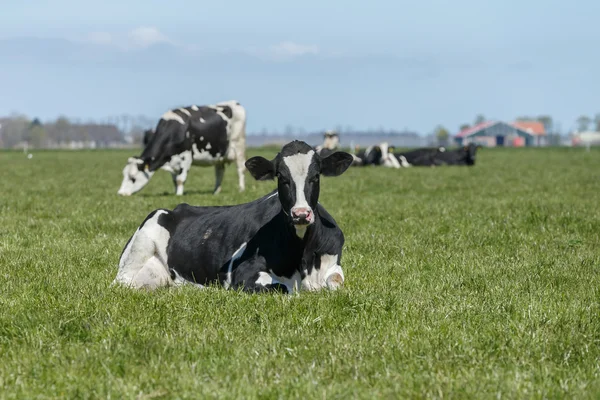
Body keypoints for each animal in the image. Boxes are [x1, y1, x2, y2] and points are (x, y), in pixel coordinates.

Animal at [112, 141, 354, 294]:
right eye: (281, 177)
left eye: (316, 176)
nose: (301, 214)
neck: (303, 259)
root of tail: (178, 209)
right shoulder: (242, 274)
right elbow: (284, 288)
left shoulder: (333, 263)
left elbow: (336, 283)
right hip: (143, 243)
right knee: (122, 283)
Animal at [117, 100, 246, 197]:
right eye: (124, 175)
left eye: (132, 178)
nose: (121, 193)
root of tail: (234, 102)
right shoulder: (173, 159)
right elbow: (175, 180)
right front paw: (176, 193)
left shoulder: (186, 156)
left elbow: (180, 179)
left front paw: (179, 195)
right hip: (219, 154)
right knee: (219, 172)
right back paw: (216, 191)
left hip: (238, 145)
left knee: (240, 168)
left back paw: (241, 189)